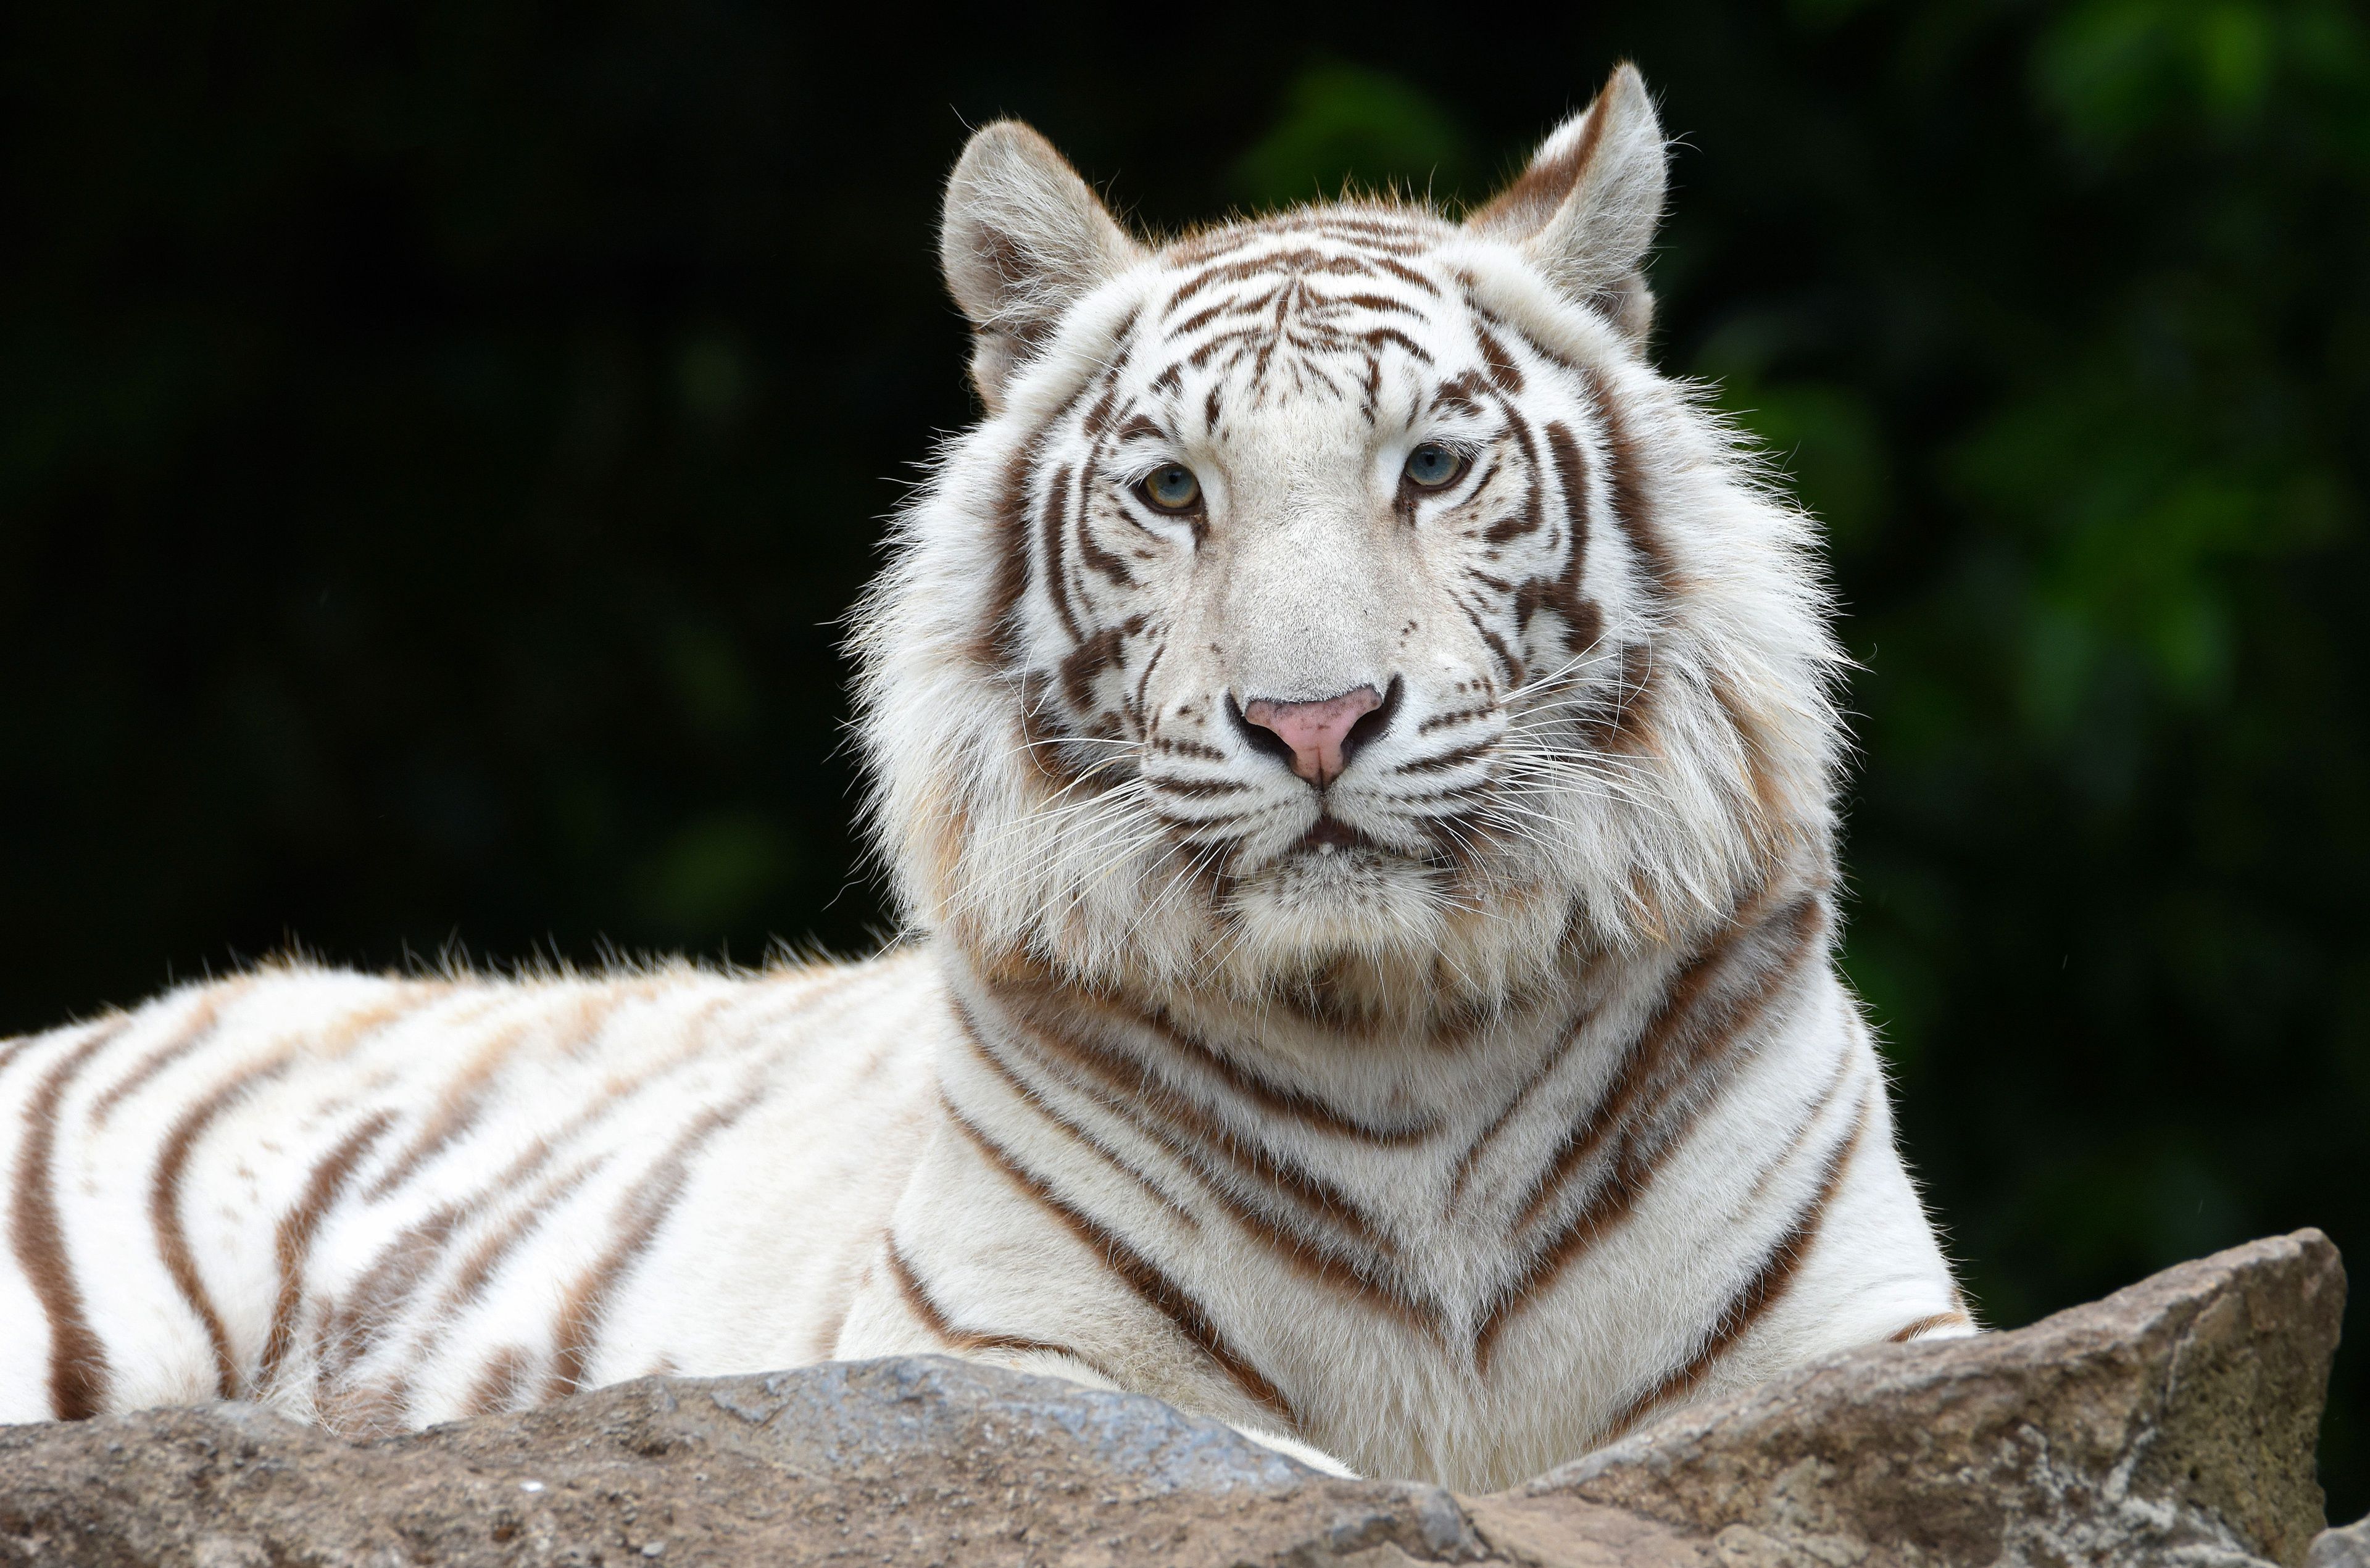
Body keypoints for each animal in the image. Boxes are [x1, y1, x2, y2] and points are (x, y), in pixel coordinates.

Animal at [0, 70, 1962, 1496]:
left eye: (1432, 465)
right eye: (1172, 491)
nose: (1315, 720)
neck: (1402, 1032)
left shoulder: (1869, 1347)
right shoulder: (1008, 1372)